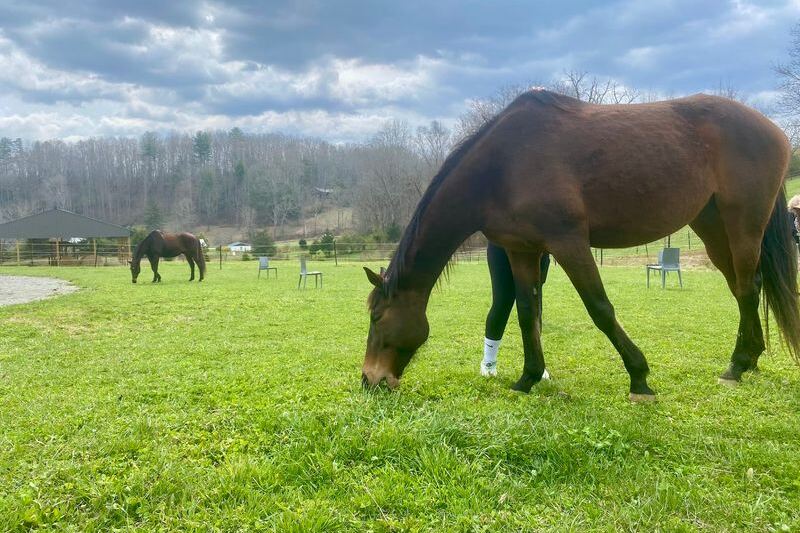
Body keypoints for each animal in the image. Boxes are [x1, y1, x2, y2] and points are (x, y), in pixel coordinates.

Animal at [362, 89, 800, 402]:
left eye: (377, 318)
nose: (370, 379)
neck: (503, 165)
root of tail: (774, 130)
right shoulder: (523, 251)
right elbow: (527, 313)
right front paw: (527, 378)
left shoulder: (568, 242)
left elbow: (600, 308)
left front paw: (639, 378)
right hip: (712, 229)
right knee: (745, 288)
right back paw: (749, 359)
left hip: (743, 225)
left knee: (747, 287)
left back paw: (736, 367)